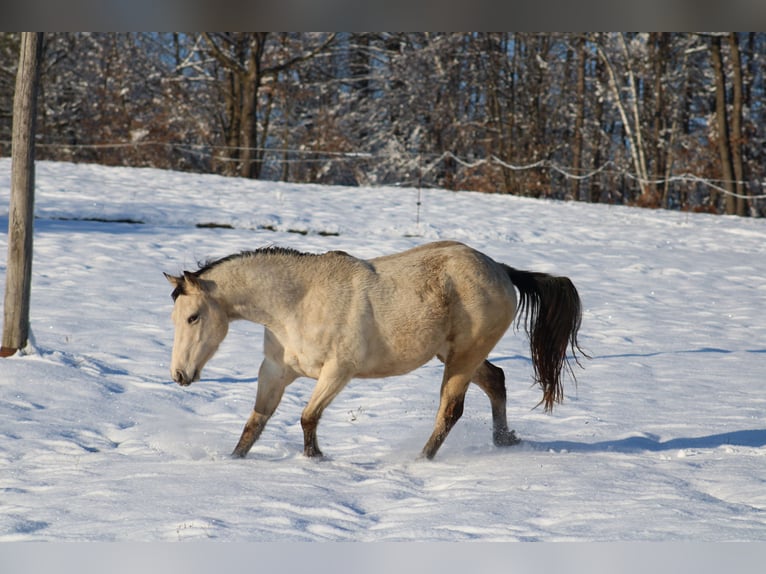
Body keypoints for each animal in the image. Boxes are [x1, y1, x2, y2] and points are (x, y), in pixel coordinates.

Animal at [165, 241, 584, 462]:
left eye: (193, 317)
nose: (179, 375)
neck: (297, 302)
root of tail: (500, 269)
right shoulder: (275, 371)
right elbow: (255, 424)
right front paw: (234, 462)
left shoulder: (337, 372)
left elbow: (307, 418)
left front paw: (316, 460)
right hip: (455, 356)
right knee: (496, 380)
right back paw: (504, 440)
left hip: (463, 359)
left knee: (450, 411)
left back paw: (420, 460)